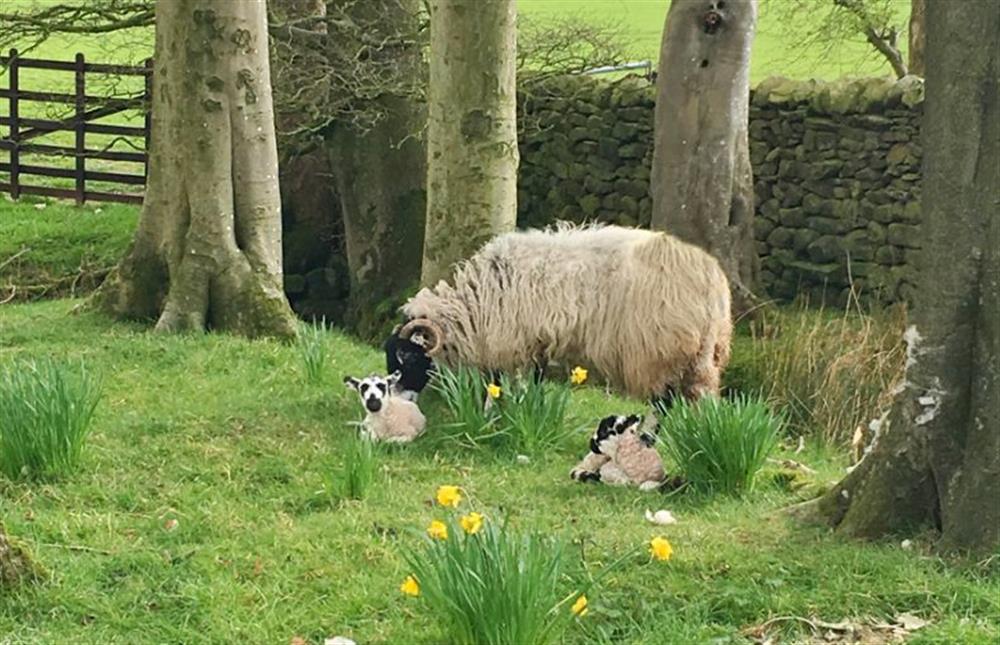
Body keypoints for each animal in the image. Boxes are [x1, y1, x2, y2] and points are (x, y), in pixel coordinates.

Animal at [386, 223, 732, 402]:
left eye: (408, 356)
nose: (396, 394)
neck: (478, 301)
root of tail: (712, 280)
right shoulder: (535, 344)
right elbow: (533, 380)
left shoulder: (513, 343)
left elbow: (505, 382)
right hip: (703, 357)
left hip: (659, 354)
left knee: (665, 400)